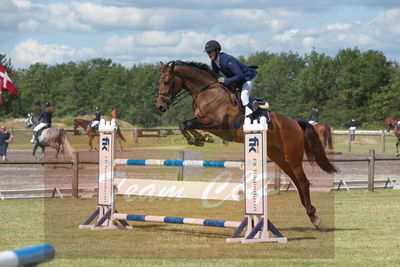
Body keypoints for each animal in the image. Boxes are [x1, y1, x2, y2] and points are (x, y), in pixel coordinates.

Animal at [155, 61, 338, 230]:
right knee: (297, 182)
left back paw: (314, 217)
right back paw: (311, 212)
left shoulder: (216, 123)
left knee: (304, 182)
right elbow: (184, 123)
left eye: (167, 82)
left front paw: (200, 138)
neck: (207, 92)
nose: (160, 106)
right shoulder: (204, 121)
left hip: (292, 156)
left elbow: (188, 123)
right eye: (159, 81)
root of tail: (295, 123)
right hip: (279, 157)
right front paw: (199, 139)